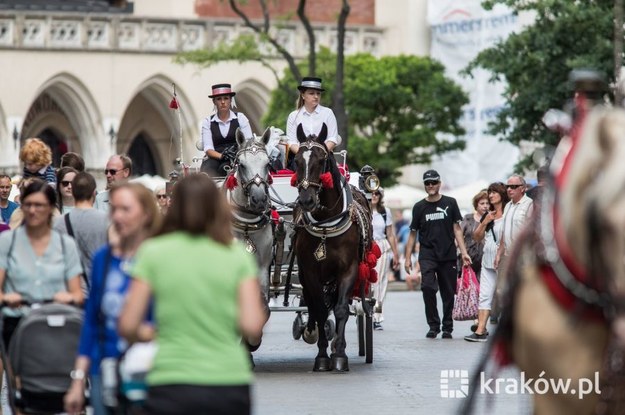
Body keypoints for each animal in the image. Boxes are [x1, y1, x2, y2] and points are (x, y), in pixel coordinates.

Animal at [292, 123, 372, 374]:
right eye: (296, 160)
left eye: (322, 160)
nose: (306, 200)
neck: (326, 225)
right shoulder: (309, 272)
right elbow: (318, 309)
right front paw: (322, 356)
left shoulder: (349, 270)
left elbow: (341, 309)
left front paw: (339, 355)